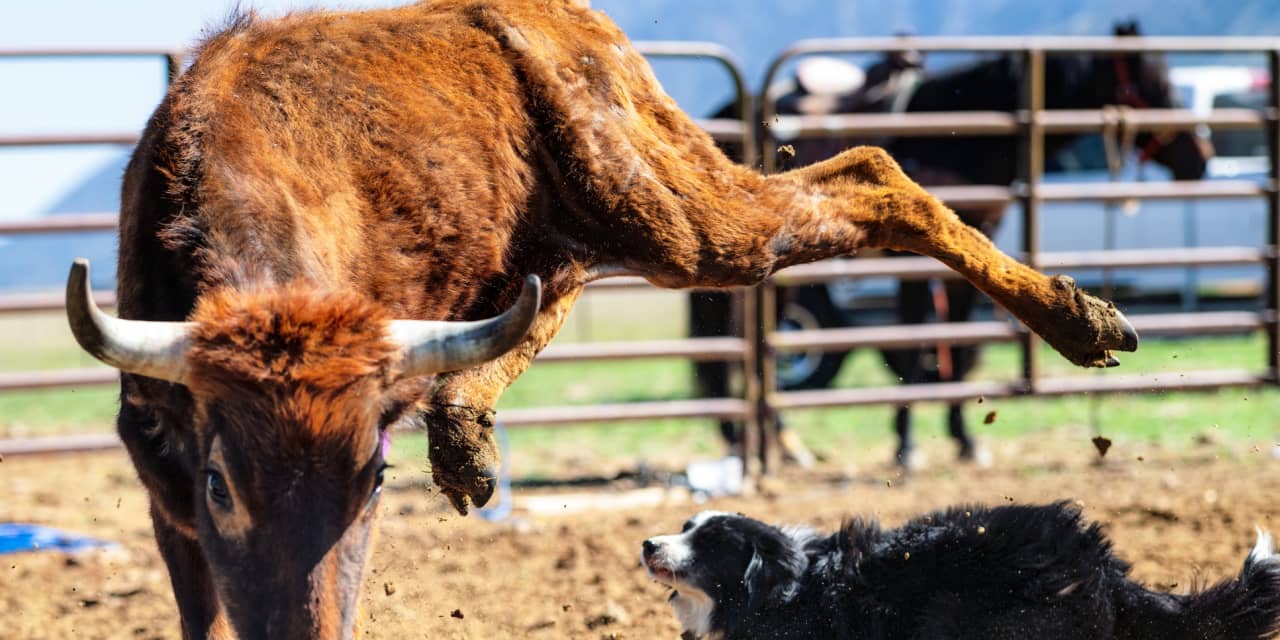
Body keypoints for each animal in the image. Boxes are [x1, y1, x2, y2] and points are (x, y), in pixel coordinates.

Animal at [65, 1, 1138, 638]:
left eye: (373, 479)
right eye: (220, 481)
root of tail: (559, 14)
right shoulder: (166, 490)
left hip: (673, 213)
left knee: (869, 175)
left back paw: (1082, 317)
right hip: (589, 222)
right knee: (554, 286)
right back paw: (466, 428)